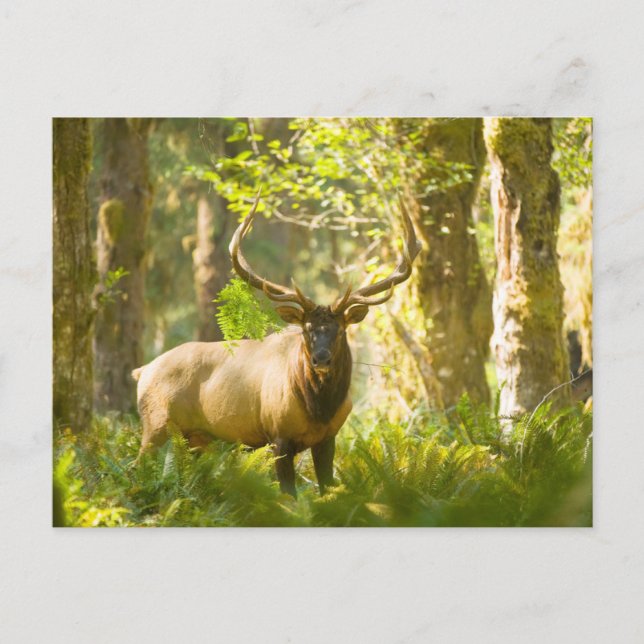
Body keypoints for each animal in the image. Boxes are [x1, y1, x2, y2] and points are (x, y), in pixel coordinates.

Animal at [132, 193, 421, 497]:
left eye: (341, 330)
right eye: (306, 329)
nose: (321, 359)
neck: (318, 409)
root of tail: (142, 370)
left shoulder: (328, 437)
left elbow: (327, 488)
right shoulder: (277, 435)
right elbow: (288, 496)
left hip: (196, 438)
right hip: (155, 424)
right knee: (136, 467)